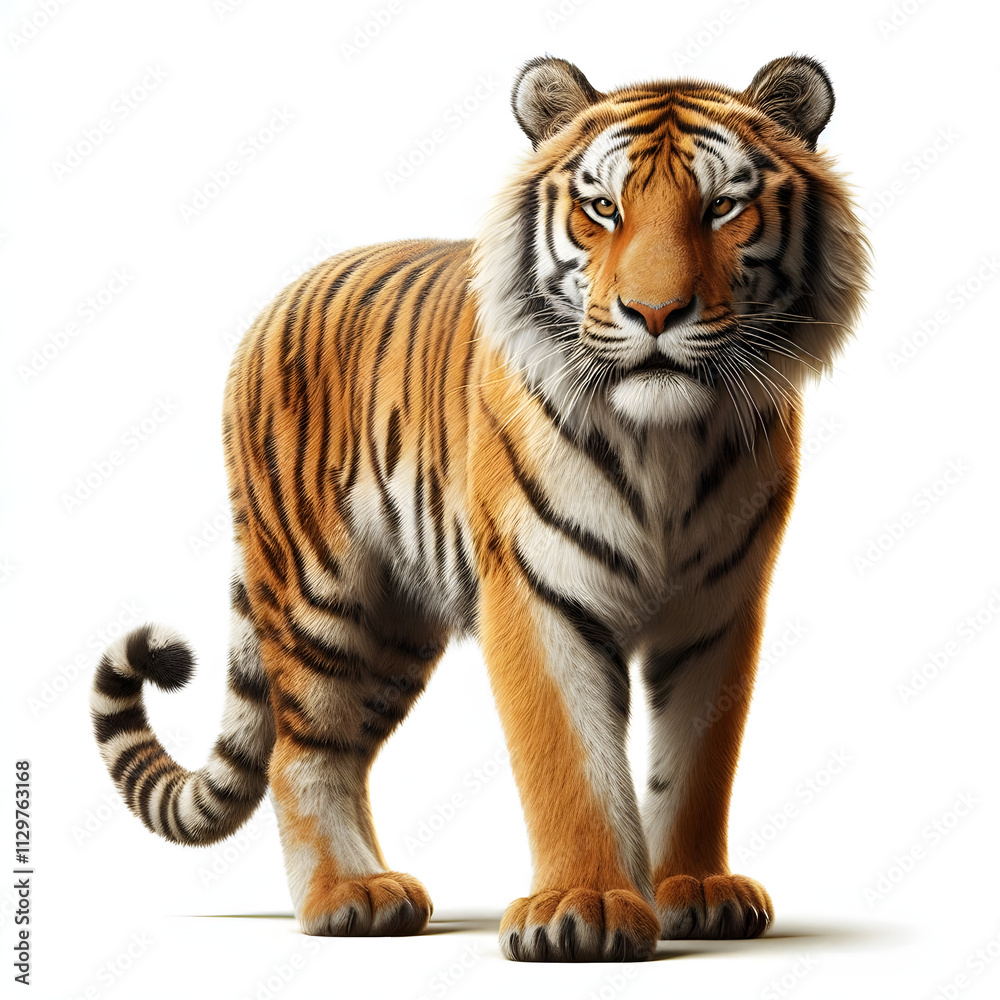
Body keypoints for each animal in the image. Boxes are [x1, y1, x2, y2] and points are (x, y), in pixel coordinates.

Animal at [90, 54, 867, 962]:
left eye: (722, 208)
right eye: (603, 208)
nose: (655, 314)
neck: (664, 440)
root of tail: (279, 300)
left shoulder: (720, 608)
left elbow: (700, 759)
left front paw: (697, 890)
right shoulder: (537, 589)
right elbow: (567, 759)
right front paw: (584, 907)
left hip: (393, 629)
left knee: (342, 748)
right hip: (323, 594)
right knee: (298, 751)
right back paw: (346, 897)